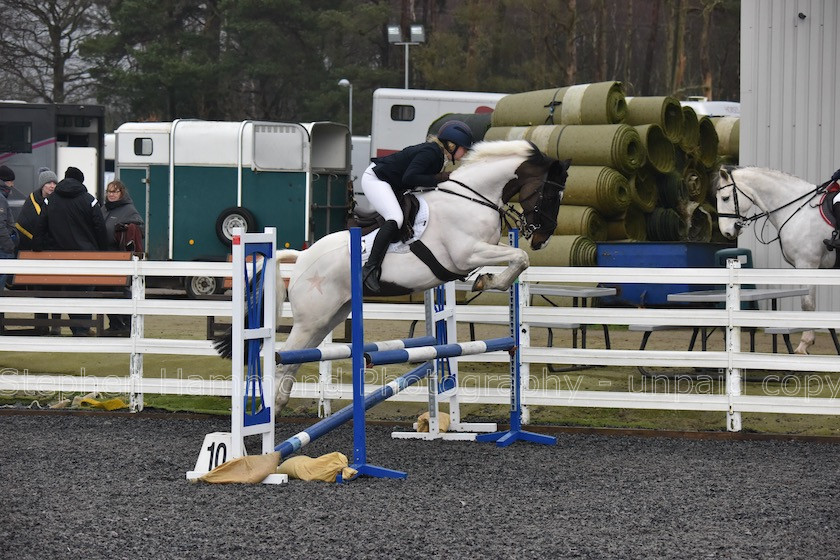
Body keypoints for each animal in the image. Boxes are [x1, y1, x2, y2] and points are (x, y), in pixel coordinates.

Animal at [217, 138, 572, 404]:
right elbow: (519, 257)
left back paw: (279, 405)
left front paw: (484, 280)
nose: (542, 238)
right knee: (285, 356)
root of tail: (302, 257)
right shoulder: (466, 252)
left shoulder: (473, 254)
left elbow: (517, 259)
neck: (472, 198)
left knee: (299, 356)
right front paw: (488, 280)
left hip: (329, 316)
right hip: (313, 317)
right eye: (550, 193)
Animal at [712, 164, 836, 352]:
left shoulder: (807, 264)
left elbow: (807, 303)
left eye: (725, 198)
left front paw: (804, 344)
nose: (727, 232)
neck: (798, 209)